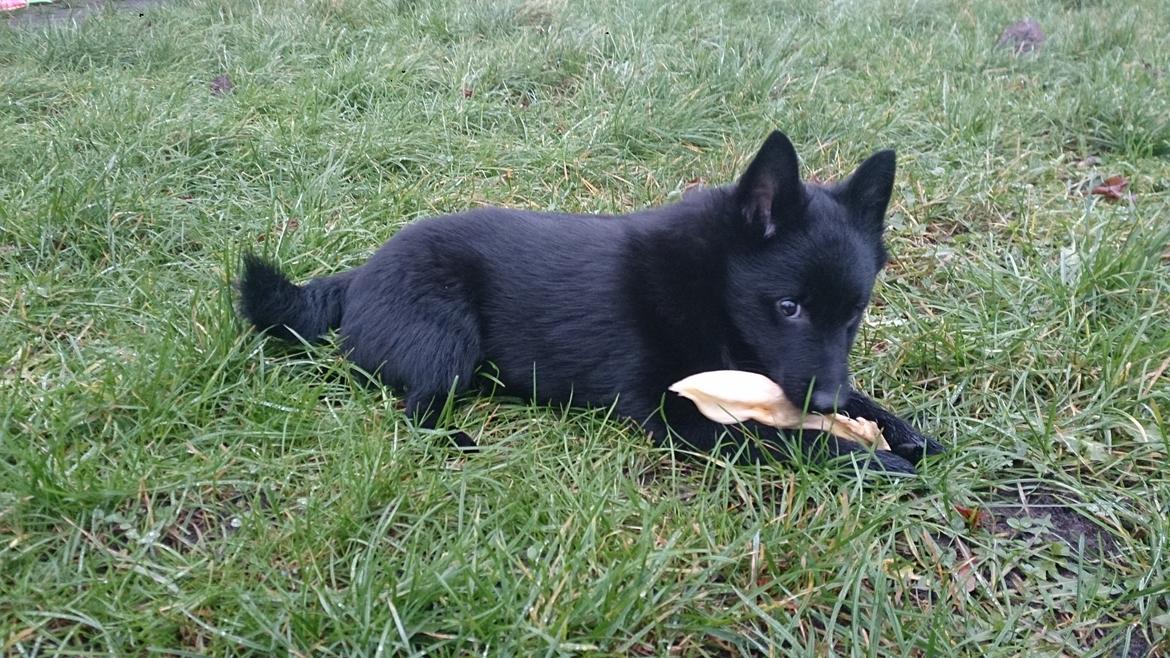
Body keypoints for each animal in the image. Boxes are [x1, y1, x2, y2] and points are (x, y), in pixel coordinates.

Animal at [237, 130, 940, 470]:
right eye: (789, 308)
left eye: (854, 313)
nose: (824, 402)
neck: (707, 283)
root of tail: (358, 274)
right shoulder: (678, 415)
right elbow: (787, 440)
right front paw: (870, 459)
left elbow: (861, 402)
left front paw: (905, 433)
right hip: (446, 338)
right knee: (416, 408)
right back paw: (456, 440)